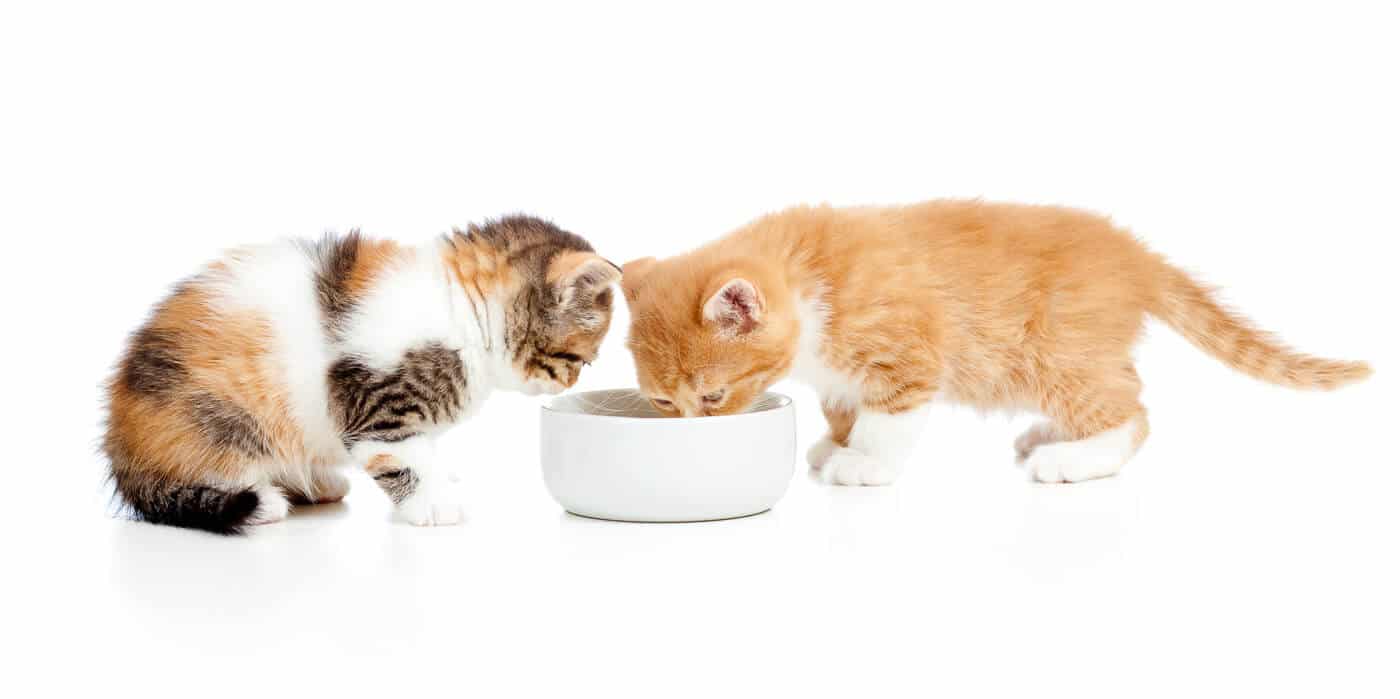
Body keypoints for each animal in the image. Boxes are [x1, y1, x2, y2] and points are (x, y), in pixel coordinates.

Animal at [103, 215, 618, 532]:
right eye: (579, 361)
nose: (570, 383)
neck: (462, 312)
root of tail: (122, 451)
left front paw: (439, 481)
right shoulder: (374, 396)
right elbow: (401, 456)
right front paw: (430, 503)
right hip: (220, 418)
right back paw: (265, 497)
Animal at [621, 203, 1366, 484]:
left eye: (713, 396)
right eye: (662, 403)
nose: (689, 433)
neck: (809, 274)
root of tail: (1136, 256)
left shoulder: (911, 354)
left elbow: (889, 419)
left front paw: (864, 463)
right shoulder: (839, 372)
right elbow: (843, 405)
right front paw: (837, 441)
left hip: (1058, 354)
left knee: (1132, 409)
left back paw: (1073, 458)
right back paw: (1050, 436)